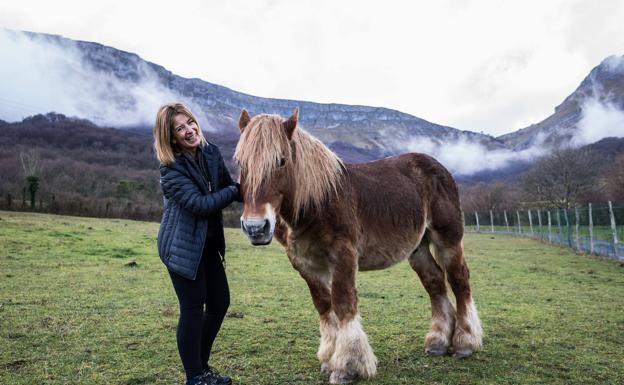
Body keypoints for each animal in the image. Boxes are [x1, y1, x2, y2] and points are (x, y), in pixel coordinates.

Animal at [234, 107, 482, 380]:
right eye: (241, 163)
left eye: (281, 161)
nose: (256, 227)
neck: (318, 202)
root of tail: (439, 168)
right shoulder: (306, 264)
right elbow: (324, 306)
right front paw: (329, 358)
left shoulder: (343, 256)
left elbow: (343, 304)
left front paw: (348, 367)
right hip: (418, 249)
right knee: (435, 282)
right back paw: (438, 342)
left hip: (448, 240)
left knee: (459, 281)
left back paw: (465, 343)